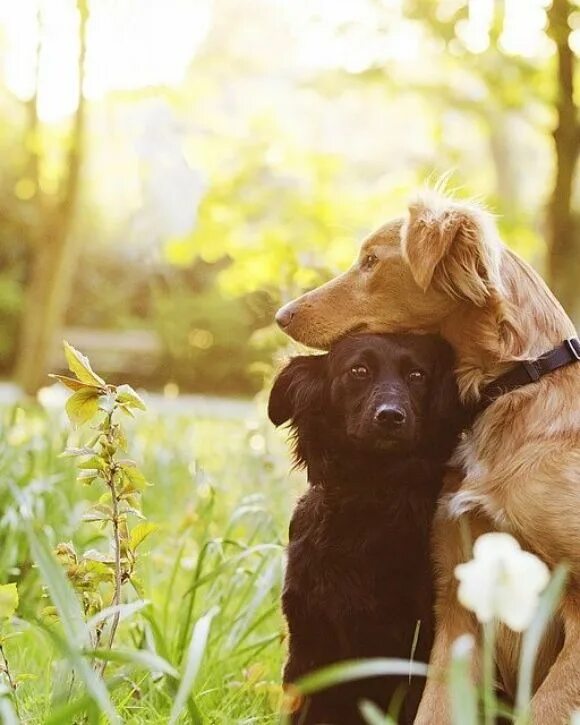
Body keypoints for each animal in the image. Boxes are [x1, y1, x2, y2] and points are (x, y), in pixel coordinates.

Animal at [270, 334, 464, 724]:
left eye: (417, 375)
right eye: (358, 370)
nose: (390, 416)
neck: (372, 499)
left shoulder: (418, 648)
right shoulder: (309, 643)